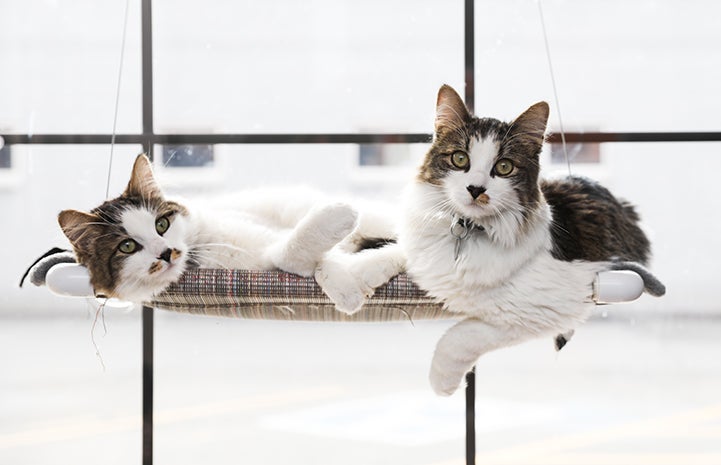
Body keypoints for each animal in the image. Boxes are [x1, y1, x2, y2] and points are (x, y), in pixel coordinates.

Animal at [400, 84, 664, 396]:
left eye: (504, 167)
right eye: (460, 159)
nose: (476, 189)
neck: (469, 231)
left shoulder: (545, 304)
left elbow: (464, 332)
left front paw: (442, 381)